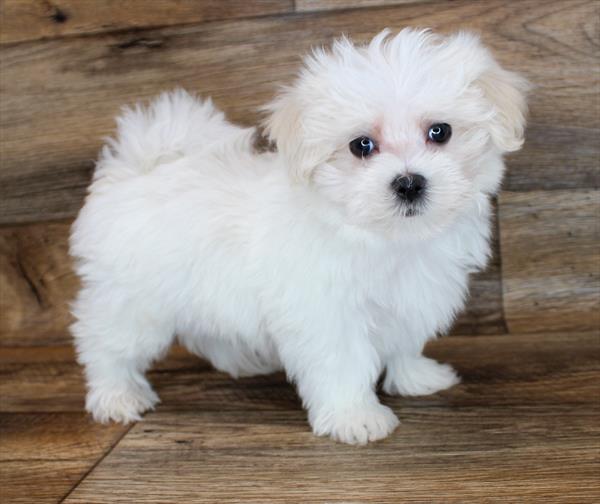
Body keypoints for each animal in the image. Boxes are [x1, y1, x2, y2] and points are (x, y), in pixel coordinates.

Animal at [70, 28, 528, 444]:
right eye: (361, 145)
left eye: (440, 132)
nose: (409, 183)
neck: (384, 237)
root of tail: (136, 168)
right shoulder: (325, 313)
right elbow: (343, 363)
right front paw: (355, 417)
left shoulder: (413, 296)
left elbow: (405, 341)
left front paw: (416, 376)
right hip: (134, 300)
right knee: (105, 343)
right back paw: (116, 395)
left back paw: (242, 361)